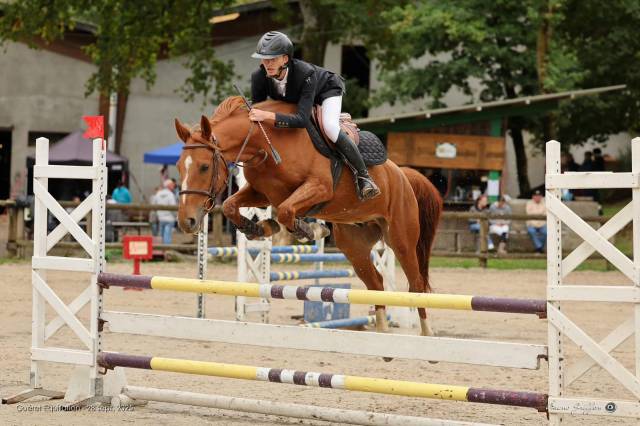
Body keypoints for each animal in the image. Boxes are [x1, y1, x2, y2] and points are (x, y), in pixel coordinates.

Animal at [174, 96, 443, 336]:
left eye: (204, 167)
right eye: (178, 167)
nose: (187, 221)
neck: (265, 143)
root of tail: (403, 174)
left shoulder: (318, 188)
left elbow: (286, 211)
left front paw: (307, 230)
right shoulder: (262, 194)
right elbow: (232, 206)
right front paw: (260, 228)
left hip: (401, 240)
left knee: (416, 284)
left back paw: (427, 333)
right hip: (354, 245)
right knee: (376, 283)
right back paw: (382, 331)